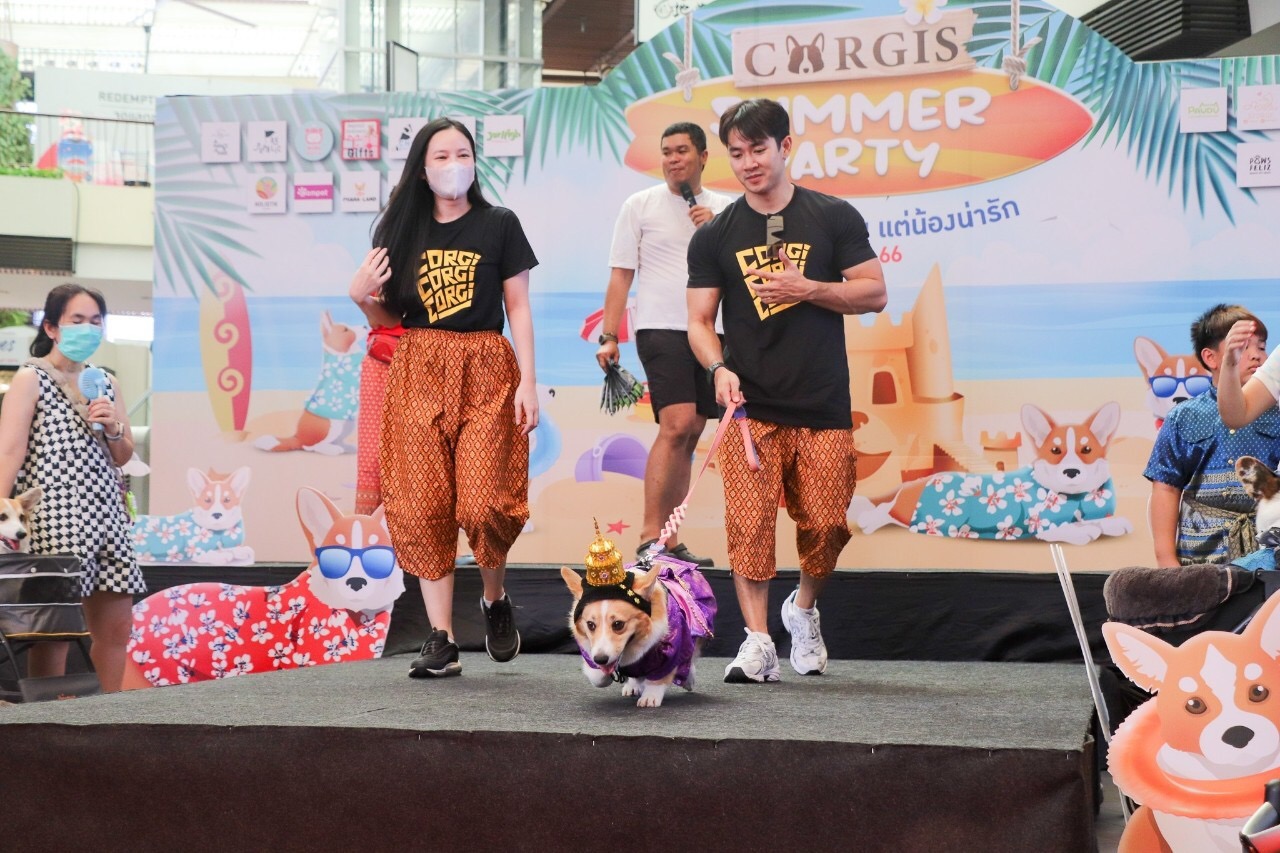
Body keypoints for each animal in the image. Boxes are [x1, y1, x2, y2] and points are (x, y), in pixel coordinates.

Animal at [254, 311, 366, 455]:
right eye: (345, 330)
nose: (365, 326)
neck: (340, 351)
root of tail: (298, 437)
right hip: (332, 427)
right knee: (312, 447)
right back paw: (333, 450)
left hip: (347, 425)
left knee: (335, 442)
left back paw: (347, 448)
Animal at [561, 553, 716, 708]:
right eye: (590, 625)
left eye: (618, 624)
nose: (601, 659)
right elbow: (598, 676)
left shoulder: (671, 649)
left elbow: (660, 676)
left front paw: (650, 696)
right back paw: (633, 685)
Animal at [850, 402, 1132, 545]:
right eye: (1055, 450)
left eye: (1087, 449)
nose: (1071, 471)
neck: (1075, 497)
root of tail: (919, 482)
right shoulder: (1043, 526)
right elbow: (1071, 527)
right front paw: (1084, 531)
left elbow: (1098, 519)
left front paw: (1111, 523)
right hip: (906, 509)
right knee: (883, 509)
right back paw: (868, 520)